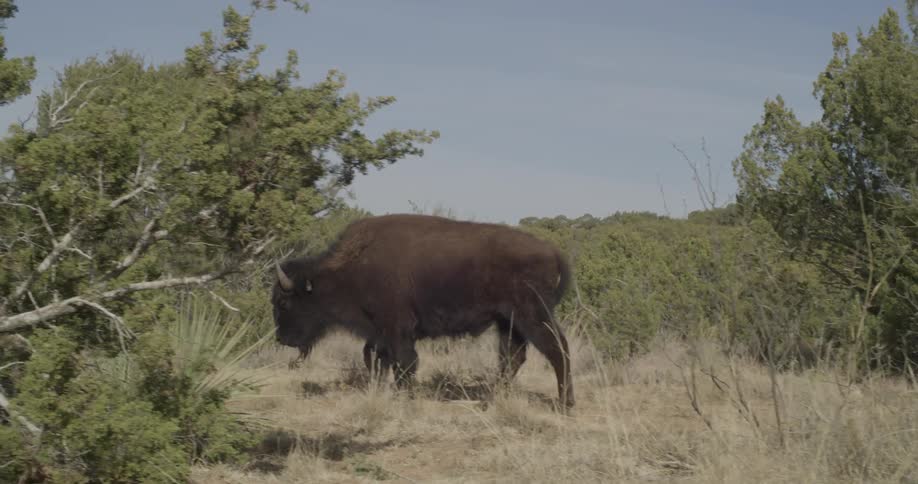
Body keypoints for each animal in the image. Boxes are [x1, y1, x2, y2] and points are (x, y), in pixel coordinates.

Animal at [271, 214, 575, 408]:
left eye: (284, 303)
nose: (282, 339)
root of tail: (552, 252)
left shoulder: (397, 329)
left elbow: (404, 363)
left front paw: (404, 396)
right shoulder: (379, 333)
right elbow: (376, 359)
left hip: (533, 316)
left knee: (557, 349)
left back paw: (565, 403)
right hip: (508, 322)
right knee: (513, 356)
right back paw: (493, 397)